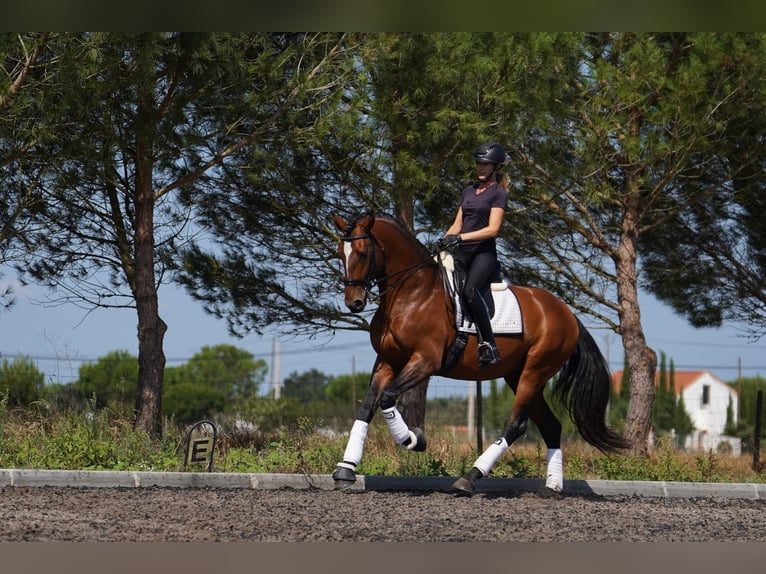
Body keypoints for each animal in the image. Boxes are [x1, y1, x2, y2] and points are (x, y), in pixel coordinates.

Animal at [330, 214, 632, 498]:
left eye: (363, 253)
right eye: (340, 253)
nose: (354, 302)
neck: (411, 292)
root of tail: (566, 313)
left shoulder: (425, 360)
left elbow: (387, 397)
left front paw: (414, 440)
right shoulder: (387, 362)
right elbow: (368, 406)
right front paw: (345, 470)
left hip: (535, 372)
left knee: (515, 425)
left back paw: (469, 478)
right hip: (518, 375)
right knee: (551, 427)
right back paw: (552, 487)